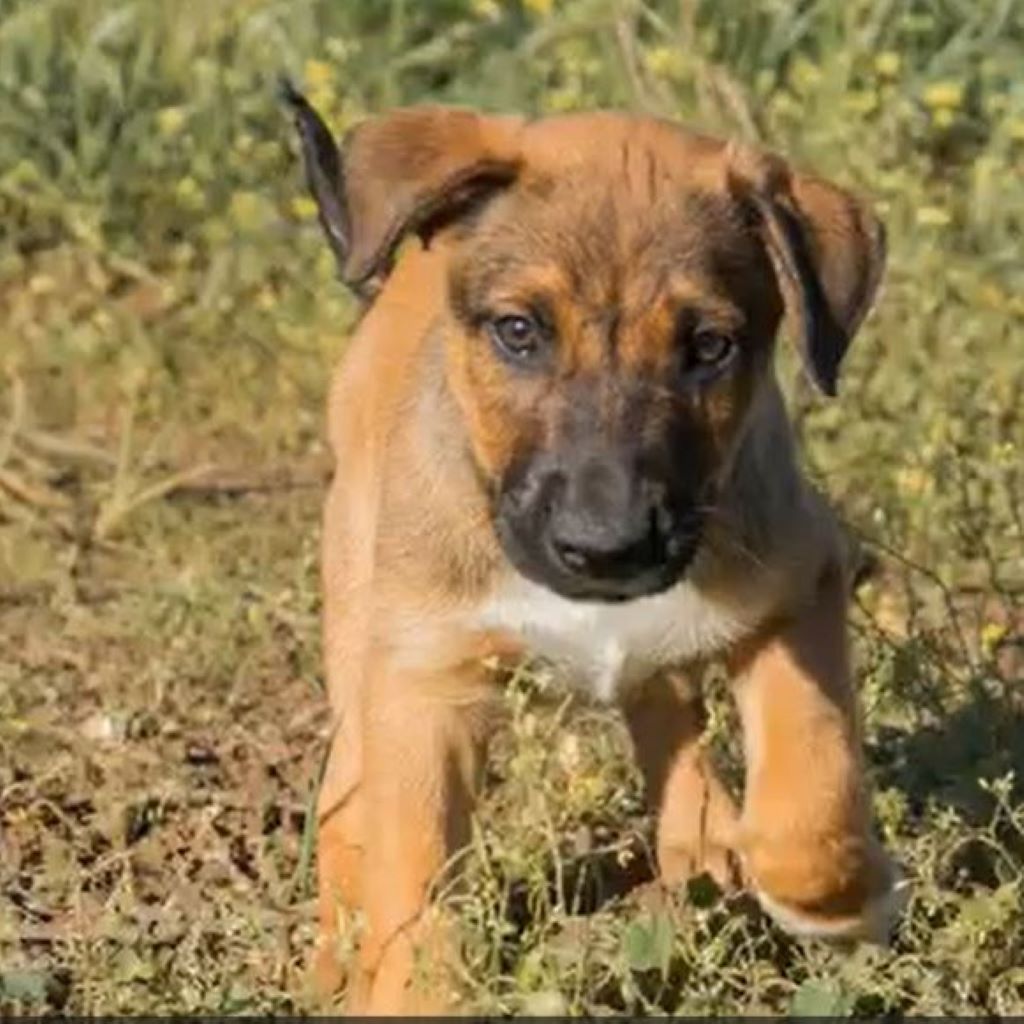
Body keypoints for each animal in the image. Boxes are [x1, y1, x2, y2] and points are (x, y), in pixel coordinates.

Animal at [282, 88, 905, 1015]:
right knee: (345, 801)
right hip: (364, 627)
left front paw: (835, 897)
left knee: (664, 704)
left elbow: (810, 769)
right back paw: (332, 955)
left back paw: (705, 841)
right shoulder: (425, 684)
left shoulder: (801, 577)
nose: (607, 548)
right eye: (518, 331)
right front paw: (406, 986)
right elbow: (416, 885)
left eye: (710, 347)